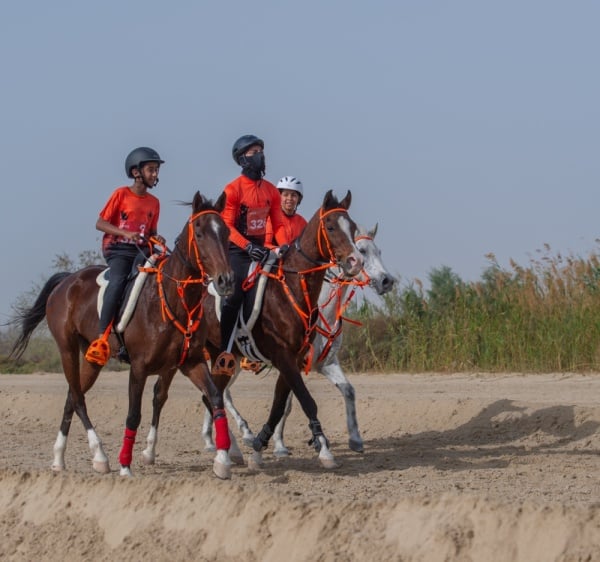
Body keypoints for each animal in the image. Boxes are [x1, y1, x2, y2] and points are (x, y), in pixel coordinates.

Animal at [11, 191, 237, 476]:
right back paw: (99, 455)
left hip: (91, 358)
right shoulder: (139, 367)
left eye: (226, 232)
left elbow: (215, 398)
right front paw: (125, 465)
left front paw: (223, 460)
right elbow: (133, 414)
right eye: (199, 233)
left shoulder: (191, 362)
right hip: (67, 349)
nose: (226, 280)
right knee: (78, 398)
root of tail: (67, 280)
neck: (174, 301)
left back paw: (59, 458)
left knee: (72, 396)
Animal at [204, 221, 396, 458]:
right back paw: (238, 437)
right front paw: (280, 444)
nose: (387, 281)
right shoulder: (288, 363)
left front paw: (354, 439)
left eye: (379, 251)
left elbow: (348, 391)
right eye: (361, 251)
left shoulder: (326, 363)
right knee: (220, 394)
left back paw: (216, 440)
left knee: (217, 392)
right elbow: (287, 405)